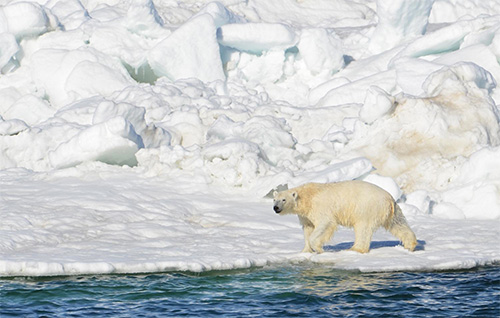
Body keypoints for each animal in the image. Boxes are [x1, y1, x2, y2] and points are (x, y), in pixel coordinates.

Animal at [274, 181, 418, 253]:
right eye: (274, 199)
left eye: (283, 199)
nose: (275, 208)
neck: (307, 197)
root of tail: (389, 198)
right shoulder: (305, 215)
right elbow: (308, 228)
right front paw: (305, 250)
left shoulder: (320, 208)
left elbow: (325, 224)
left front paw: (319, 249)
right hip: (391, 211)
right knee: (398, 224)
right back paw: (410, 245)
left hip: (367, 208)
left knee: (363, 228)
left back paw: (355, 248)